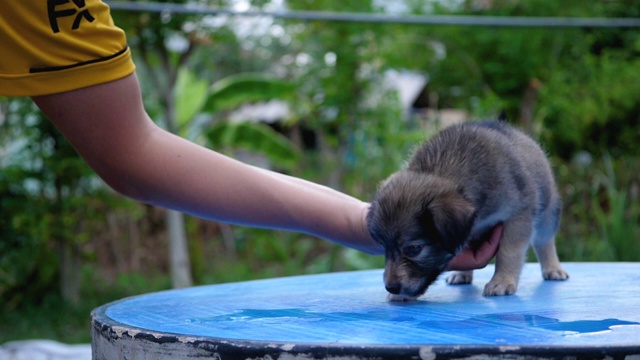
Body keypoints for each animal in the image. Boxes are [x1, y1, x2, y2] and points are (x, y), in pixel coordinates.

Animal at [368, 121, 568, 300]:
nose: (391, 287)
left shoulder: (518, 214)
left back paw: (553, 268)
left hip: (548, 214)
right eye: (383, 246)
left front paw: (502, 281)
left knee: (544, 242)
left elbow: (509, 252)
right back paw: (462, 275)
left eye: (414, 249)